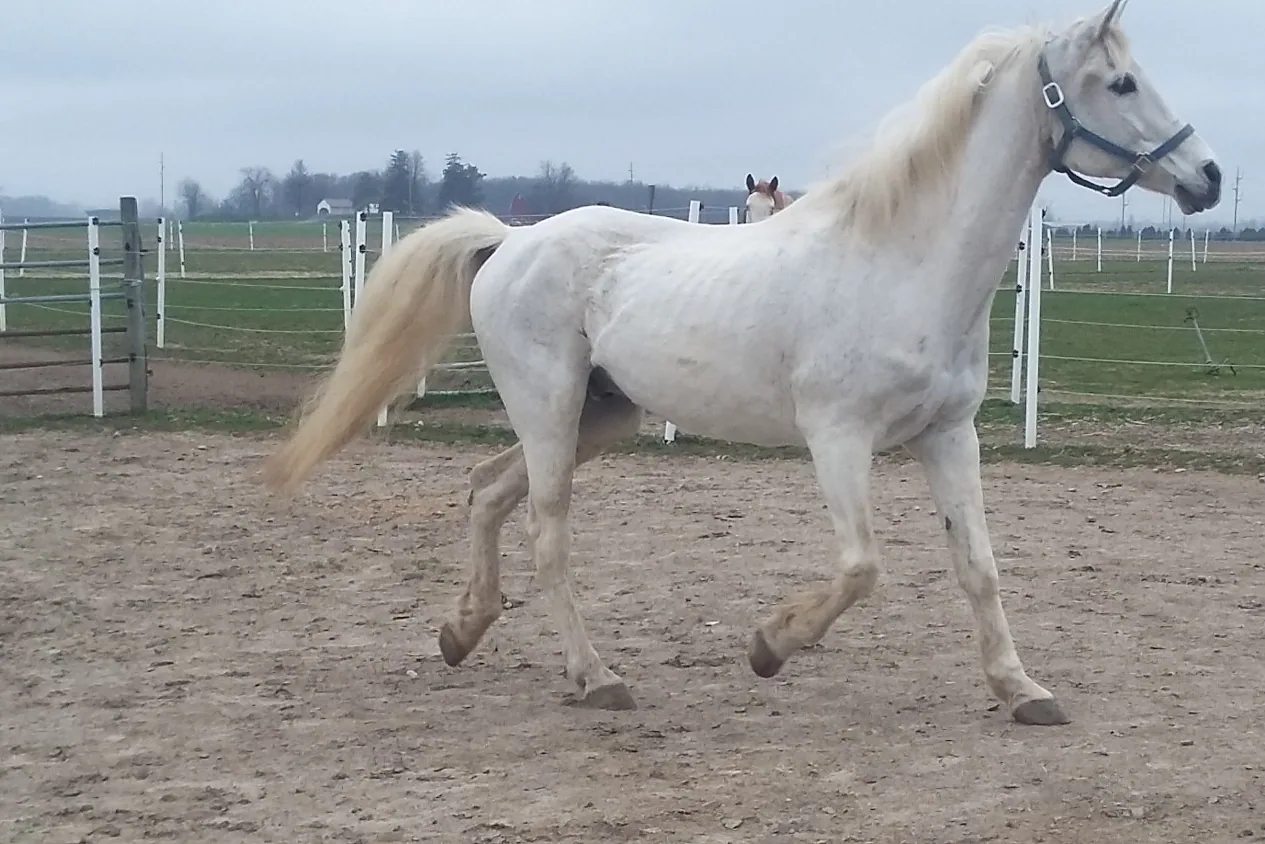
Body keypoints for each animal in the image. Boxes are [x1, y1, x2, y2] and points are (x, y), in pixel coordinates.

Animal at [263, 0, 1220, 725]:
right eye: (1121, 82)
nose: (1206, 176)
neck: (902, 264)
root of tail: (509, 242)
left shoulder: (949, 436)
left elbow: (978, 568)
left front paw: (1021, 690)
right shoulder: (837, 439)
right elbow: (861, 567)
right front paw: (770, 646)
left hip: (598, 415)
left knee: (484, 490)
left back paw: (462, 633)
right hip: (549, 410)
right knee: (547, 535)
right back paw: (597, 678)